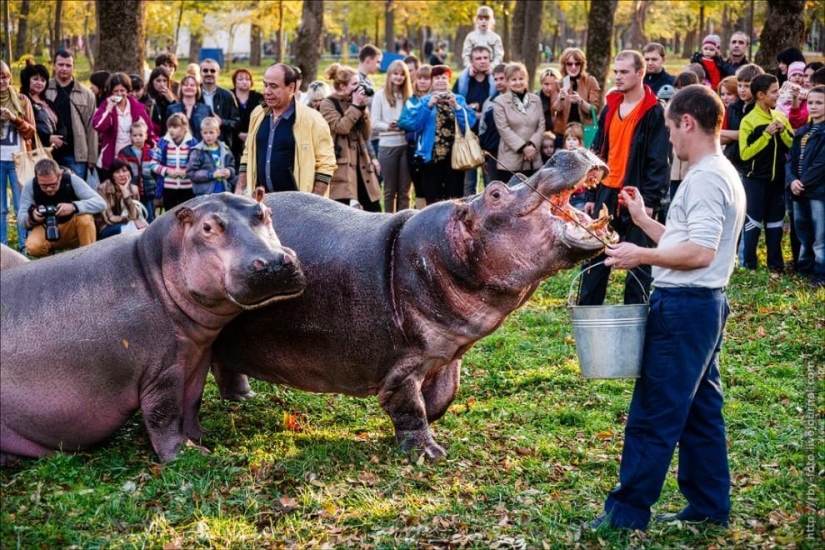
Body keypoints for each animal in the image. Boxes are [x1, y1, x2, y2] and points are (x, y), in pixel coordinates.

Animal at [0, 191, 305, 465]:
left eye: (266, 213)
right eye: (207, 228)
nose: (274, 263)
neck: (153, 267)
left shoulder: (196, 358)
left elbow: (191, 403)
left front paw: (202, 436)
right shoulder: (162, 371)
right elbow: (164, 414)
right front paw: (187, 455)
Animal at [212, 149, 617, 460]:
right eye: (496, 193)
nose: (563, 152)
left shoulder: (446, 355)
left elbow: (442, 399)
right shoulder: (403, 366)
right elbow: (409, 405)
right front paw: (428, 454)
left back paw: (243, 398)